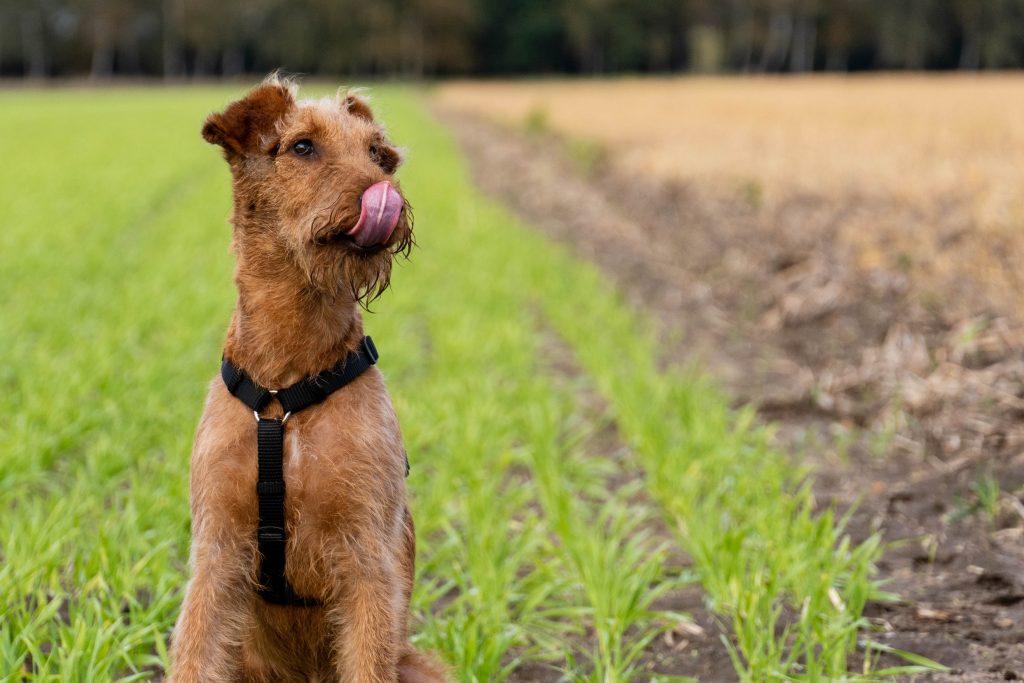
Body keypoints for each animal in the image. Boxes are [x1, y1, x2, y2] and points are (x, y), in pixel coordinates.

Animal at [169, 76, 446, 683]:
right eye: (301, 146)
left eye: (377, 153)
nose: (385, 193)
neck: (285, 386)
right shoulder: (217, 549)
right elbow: (196, 653)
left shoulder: (366, 556)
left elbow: (368, 657)